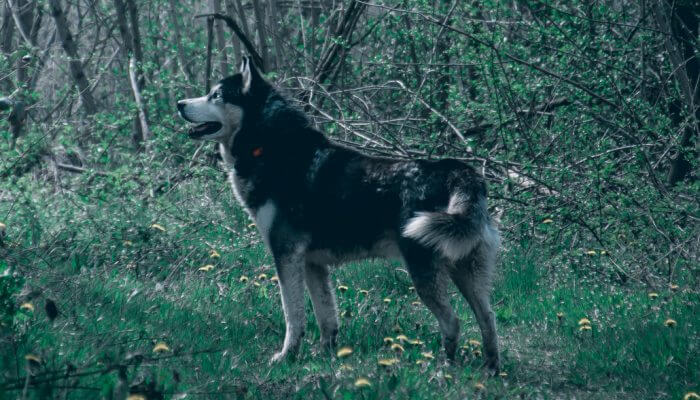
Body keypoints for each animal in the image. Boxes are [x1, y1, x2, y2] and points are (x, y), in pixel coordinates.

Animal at [178, 57, 500, 374]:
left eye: (216, 95)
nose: (179, 103)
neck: (268, 146)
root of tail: (459, 172)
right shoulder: (312, 264)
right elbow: (326, 318)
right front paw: (325, 356)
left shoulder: (286, 255)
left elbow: (293, 316)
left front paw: (287, 356)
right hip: (466, 273)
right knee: (488, 319)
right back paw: (490, 371)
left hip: (424, 272)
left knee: (453, 322)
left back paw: (445, 370)